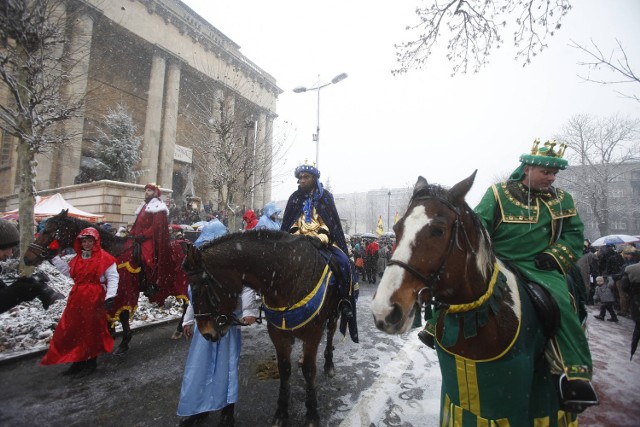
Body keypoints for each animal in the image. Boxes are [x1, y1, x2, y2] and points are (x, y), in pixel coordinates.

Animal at [25, 211, 190, 354]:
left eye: (48, 231)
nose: (28, 257)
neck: (112, 250)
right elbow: (105, 311)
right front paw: (108, 334)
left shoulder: (124, 290)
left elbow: (123, 315)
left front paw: (124, 342)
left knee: (186, 305)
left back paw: (179, 329)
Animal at [182, 231, 344, 427]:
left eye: (200, 289)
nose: (206, 333)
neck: (287, 277)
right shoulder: (277, 334)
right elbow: (284, 369)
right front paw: (281, 412)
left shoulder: (313, 333)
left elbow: (309, 370)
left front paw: (312, 415)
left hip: (333, 316)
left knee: (330, 336)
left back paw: (329, 365)